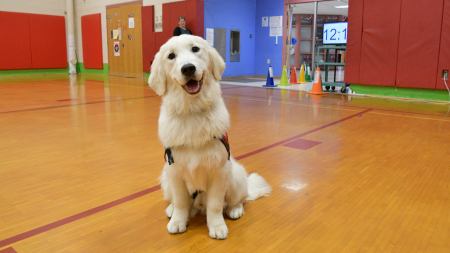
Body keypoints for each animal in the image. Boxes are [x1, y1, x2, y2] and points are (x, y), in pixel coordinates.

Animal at [149, 34, 272, 239]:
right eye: (171, 56)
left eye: (195, 49)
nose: (188, 68)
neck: (192, 112)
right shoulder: (174, 172)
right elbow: (181, 202)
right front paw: (177, 221)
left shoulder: (219, 171)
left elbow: (215, 205)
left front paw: (217, 226)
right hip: (165, 178)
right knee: (177, 201)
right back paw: (171, 210)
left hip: (235, 174)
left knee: (239, 199)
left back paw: (234, 210)